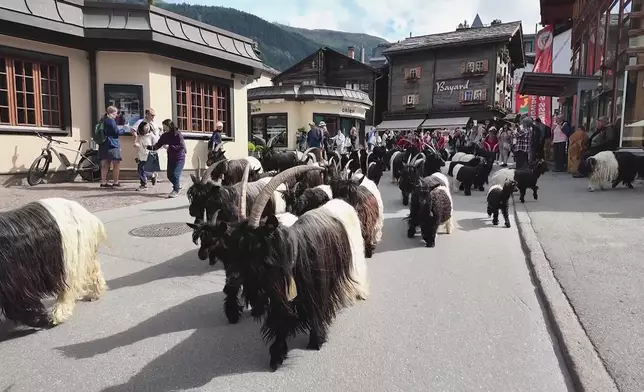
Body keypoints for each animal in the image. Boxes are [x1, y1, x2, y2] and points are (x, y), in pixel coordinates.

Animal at [0, 198, 107, 330]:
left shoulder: (14, 282)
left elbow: (19, 306)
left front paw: (41, 319)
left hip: (68, 258)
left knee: (68, 288)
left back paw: (59, 315)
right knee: (93, 269)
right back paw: (95, 292)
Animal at [219, 165, 368, 370]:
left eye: (254, 246)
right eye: (234, 245)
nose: (231, 279)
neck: (293, 253)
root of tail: (342, 202)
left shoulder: (315, 289)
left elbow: (315, 312)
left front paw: (316, 341)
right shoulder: (281, 296)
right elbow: (280, 321)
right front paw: (276, 356)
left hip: (355, 254)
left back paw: (359, 292)